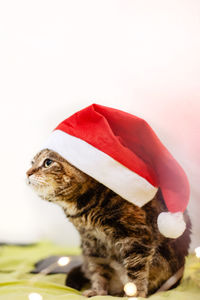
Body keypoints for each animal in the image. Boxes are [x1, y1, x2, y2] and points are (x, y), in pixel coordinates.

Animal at [26, 149, 191, 296]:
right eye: (32, 162)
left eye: (48, 162)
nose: (27, 173)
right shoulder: (92, 243)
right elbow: (99, 271)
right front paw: (98, 291)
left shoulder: (136, 237)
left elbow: (136, 271)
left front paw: (135, 294)